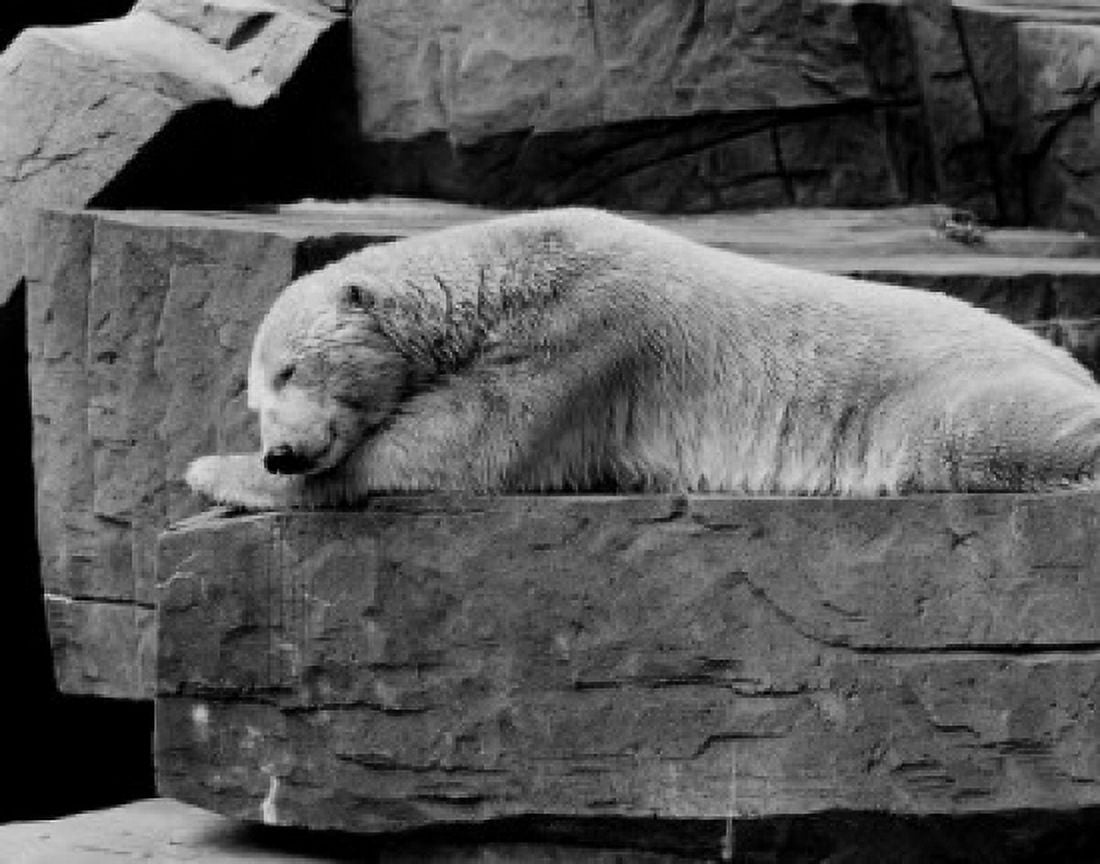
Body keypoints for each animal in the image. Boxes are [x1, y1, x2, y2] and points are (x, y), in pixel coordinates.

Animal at [186, 207, 1100, 509]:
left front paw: (208, 470)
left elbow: (465, 445)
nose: (281, 449)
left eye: (290, 371)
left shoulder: (588, 334)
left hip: (934, 389)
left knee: (987, 430)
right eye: (256, 398)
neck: (507, 270)